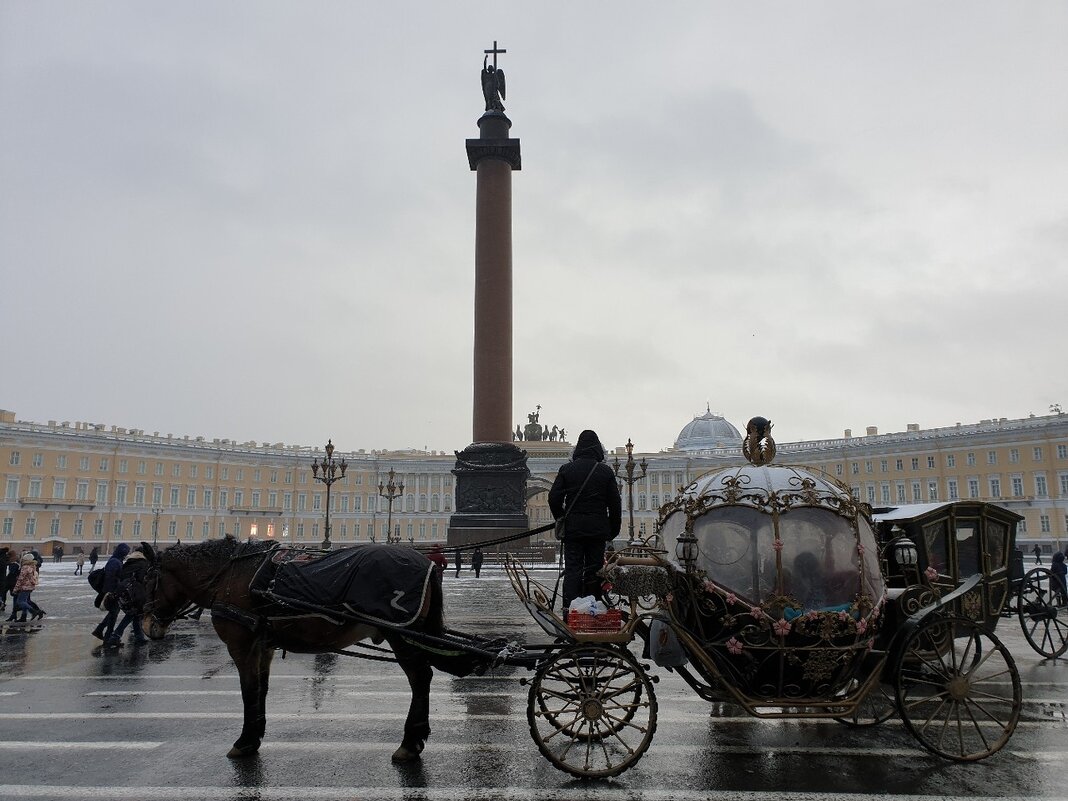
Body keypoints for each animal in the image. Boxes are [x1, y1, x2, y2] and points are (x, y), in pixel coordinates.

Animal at [139, 540, 489, 764]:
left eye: (147, 578)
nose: (146, 625)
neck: (233, 576)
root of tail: (427, 563)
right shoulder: (264, 645)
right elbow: (262, 690)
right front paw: (256, 737)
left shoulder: (241, 644)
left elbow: (248, 691)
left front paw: (243, 742)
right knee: (422, 678)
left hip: (400, 635)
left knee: (421, 678)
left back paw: (409, 744)